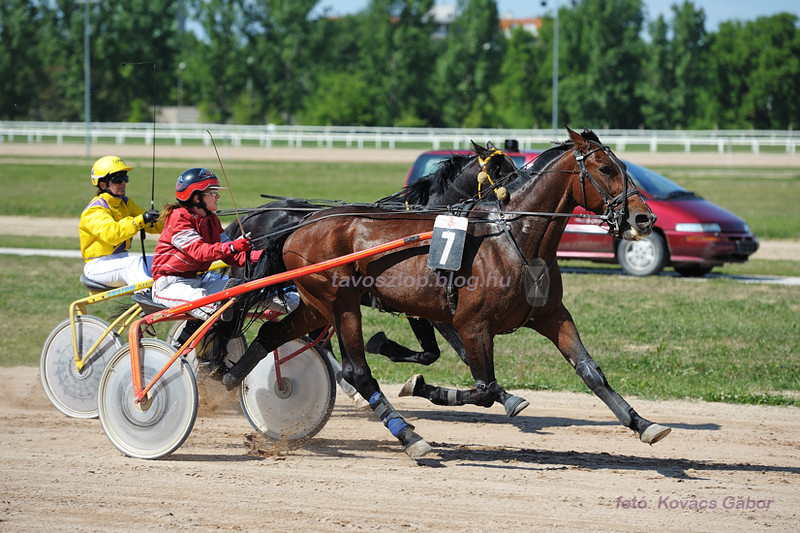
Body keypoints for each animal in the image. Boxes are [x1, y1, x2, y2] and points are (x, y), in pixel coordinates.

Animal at [220, 127, 668, 456]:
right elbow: (484, 387)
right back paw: (409, 435)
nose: (643, 219)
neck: (512, 237)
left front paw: (643, 423)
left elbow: (590, 371)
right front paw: (427, 387)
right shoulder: (469, 323)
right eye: (606, 168)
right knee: (355, 370)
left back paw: (228, 377)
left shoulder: (550, 315)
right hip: (340, 302)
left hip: (316, 304)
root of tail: (300, 224)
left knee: (271, 334)